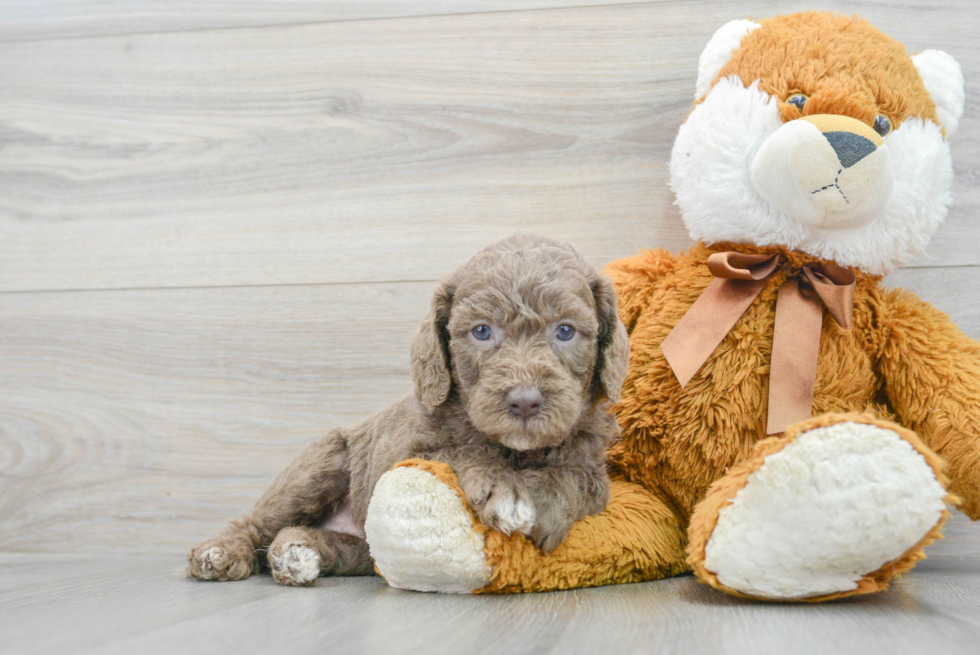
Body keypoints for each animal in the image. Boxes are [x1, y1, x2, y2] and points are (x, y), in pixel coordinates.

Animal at [186, 236, 628, 588]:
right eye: (482, 331)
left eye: (565, 330)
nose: (524, 400)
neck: (515, 450)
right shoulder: (404, 451)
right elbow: (458, 451)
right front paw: (503, 489)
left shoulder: (592, 459)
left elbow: (580, 479)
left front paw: (546, 503)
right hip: (322, 462)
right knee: (258, 522)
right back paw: (221, 553)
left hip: (362, 545)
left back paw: (298, 553)